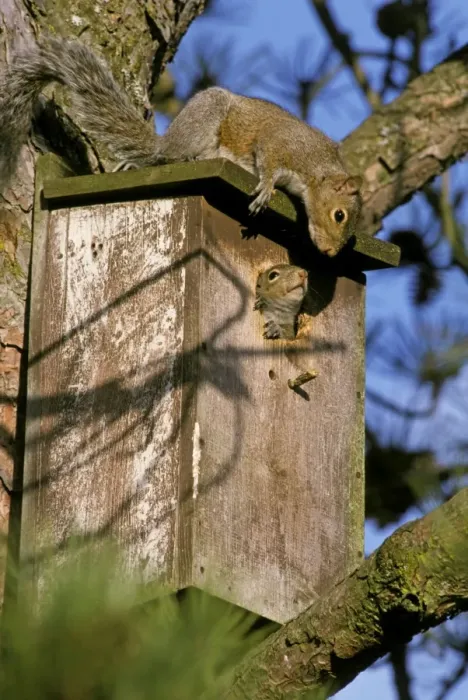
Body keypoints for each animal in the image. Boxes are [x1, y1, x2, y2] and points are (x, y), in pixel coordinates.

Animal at [0, 36, 363, 256]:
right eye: (339, 215)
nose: (330, 253)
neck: (317, 167)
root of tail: (168, 139)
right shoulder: (282, 143)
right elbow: (269, 162)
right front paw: (266, 189)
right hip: (204, 120)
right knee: (169, 156)